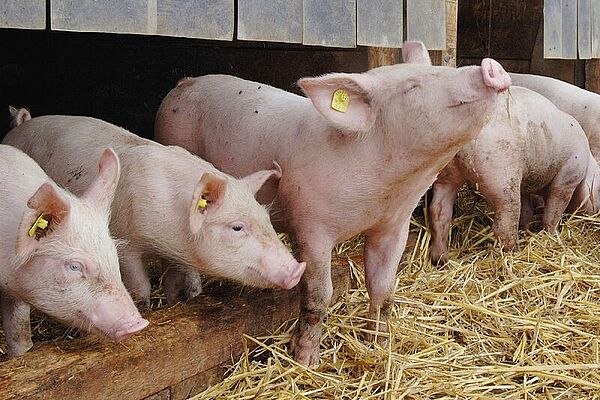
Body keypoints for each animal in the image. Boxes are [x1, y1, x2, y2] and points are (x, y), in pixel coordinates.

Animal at [4, 111, 304, 310]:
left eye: (267, 219)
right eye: (237, 227)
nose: (297, 270)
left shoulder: (174, 251)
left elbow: (174, 281)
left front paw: (174, 303)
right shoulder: (126, 244)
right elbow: (140, 286)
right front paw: (148, 309)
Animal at [154, 39, 510, 366]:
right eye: (412, 87)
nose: (490, 66)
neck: (385, 192)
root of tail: (184, 83)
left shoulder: (393, 226)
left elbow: (384, 290)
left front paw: (381, 348)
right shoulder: (311, 226)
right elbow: (318, 297)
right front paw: (306, 362)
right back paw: (184, 299)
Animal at [400, 43, 600, 266]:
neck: (588, 162)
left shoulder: (527, 181)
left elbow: (527, 207)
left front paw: (526, 227)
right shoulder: (568, 174)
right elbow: (555, 207)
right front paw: (550, 234)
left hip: (446, 172)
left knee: (439, 212)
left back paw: (441, 259)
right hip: (501, 171)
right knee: (504, 219)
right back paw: (513, 253)